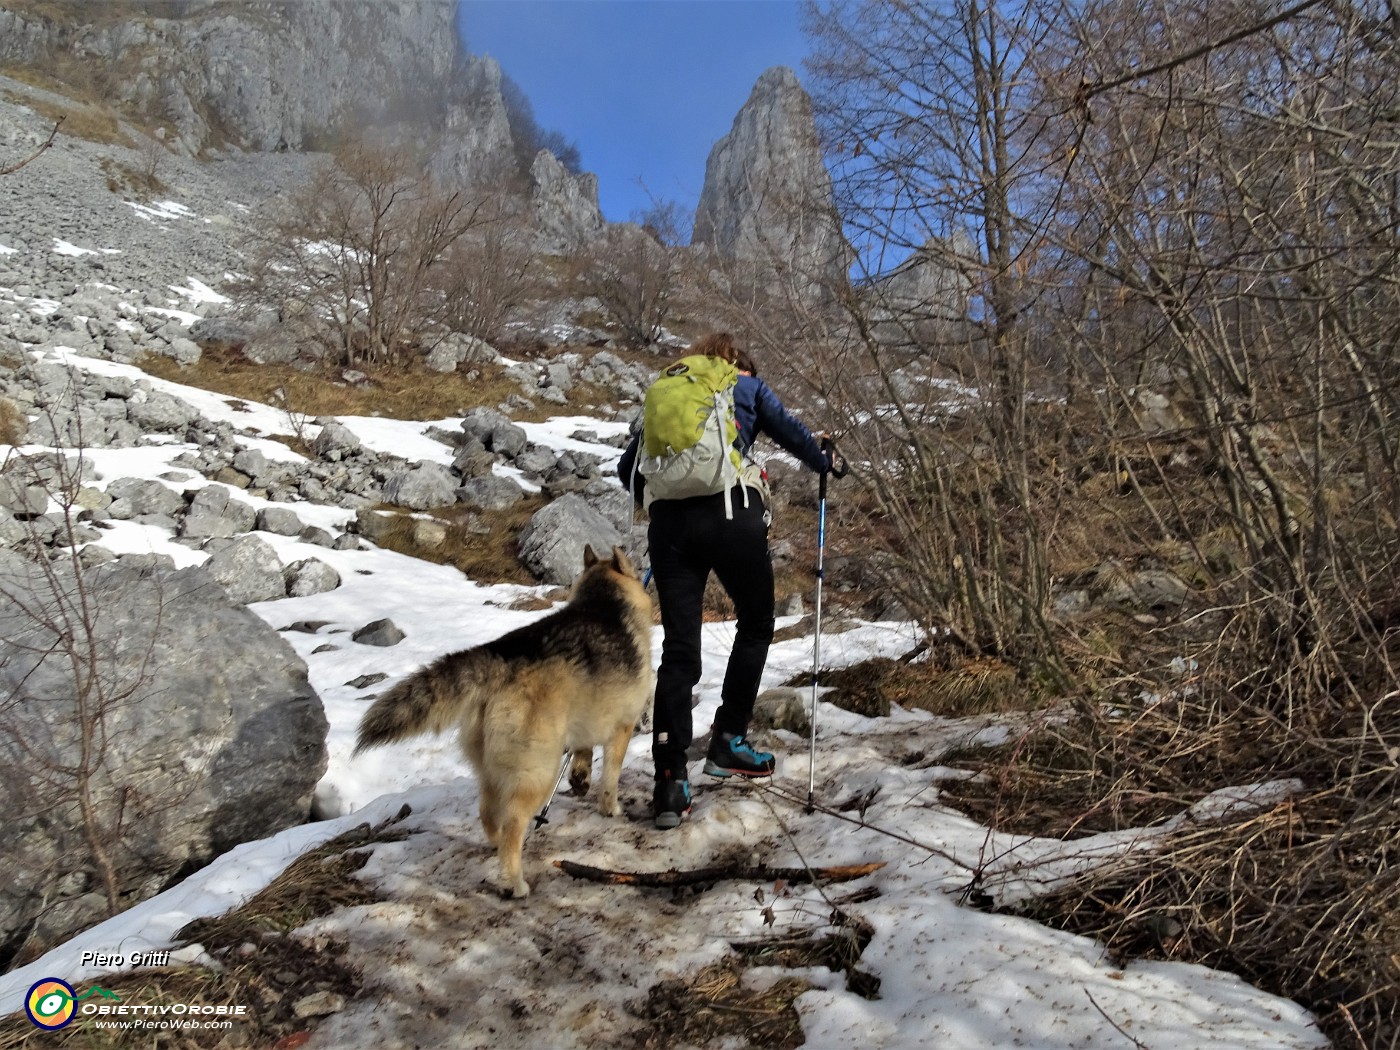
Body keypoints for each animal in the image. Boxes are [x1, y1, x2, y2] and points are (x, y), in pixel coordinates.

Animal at [355, 546, 649, 901]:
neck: (606, 600)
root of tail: (498, 657)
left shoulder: (590, 718)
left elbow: (583, 752)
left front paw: (580, 778)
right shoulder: (622, 727)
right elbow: (611, 778)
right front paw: (610, 807)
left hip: (492, 768)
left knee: (487, 813)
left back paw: (495, 846)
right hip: (538, 772)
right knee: (512, 823)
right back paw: (512, 882)